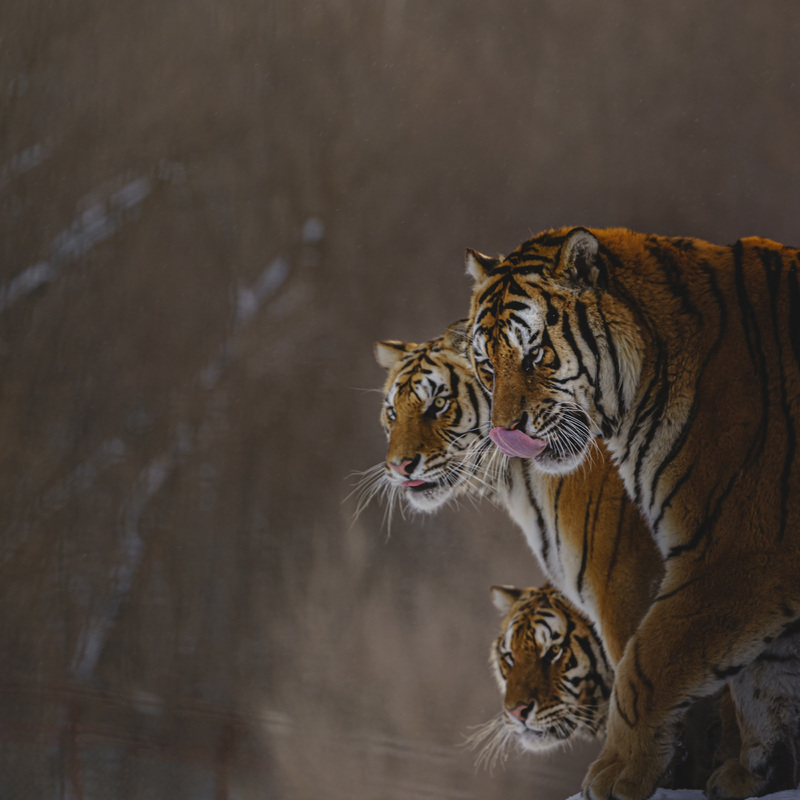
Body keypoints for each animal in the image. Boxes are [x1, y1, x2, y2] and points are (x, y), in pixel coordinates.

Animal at [465, 226, 800, 800]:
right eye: (487, 365)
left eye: (534, 355)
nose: (503, 435)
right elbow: (764, 678)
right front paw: (755, 770)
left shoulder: (732, 556)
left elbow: (647, 665)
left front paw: (618, 772)